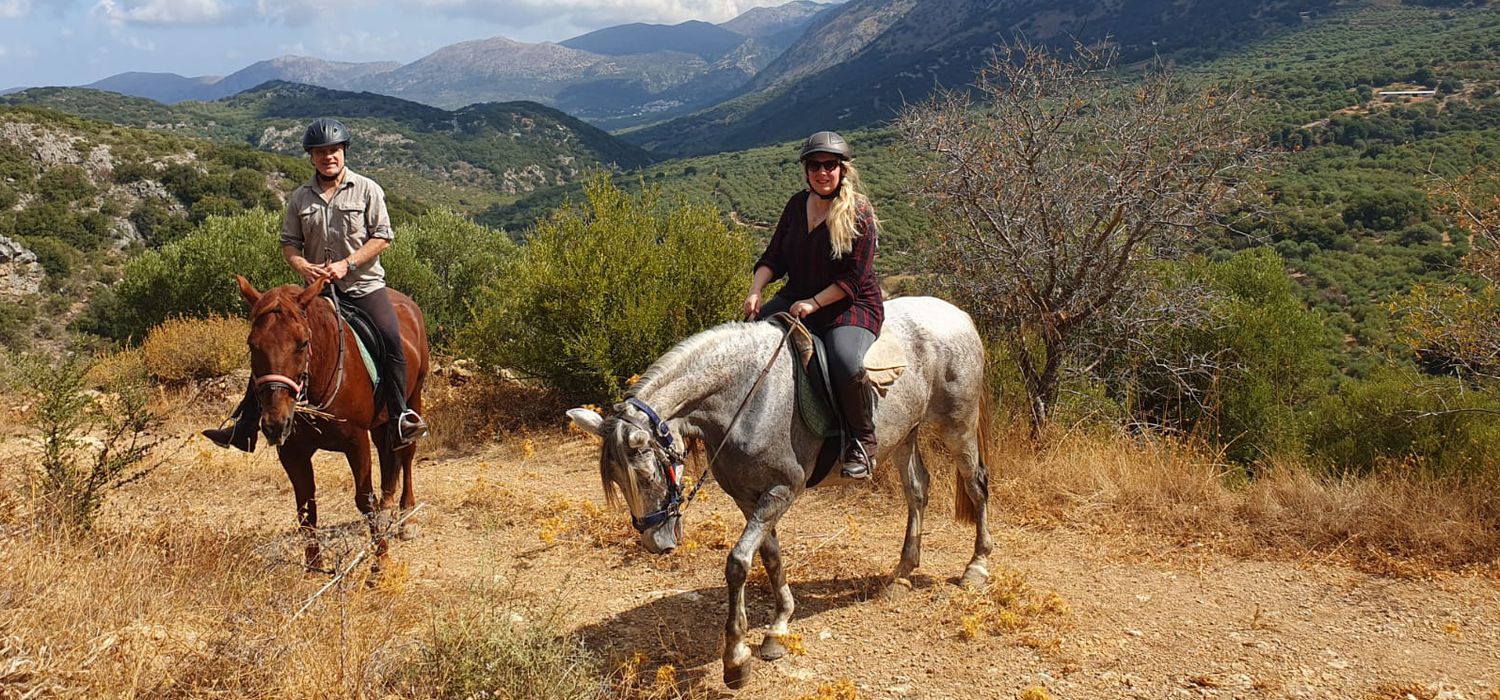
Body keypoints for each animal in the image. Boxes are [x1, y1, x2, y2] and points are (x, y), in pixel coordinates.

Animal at [234, 275, 432, 575]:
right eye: (252, 345)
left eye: (302, 343)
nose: (275, 424)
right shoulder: (292, 452)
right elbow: (305, 507)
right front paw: (314, 565)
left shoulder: (356, 442)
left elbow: (364, 500)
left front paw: (381, 560)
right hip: (380, 421)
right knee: (387, 456)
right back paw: (388, 507)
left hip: (413, 395)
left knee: (406, 453)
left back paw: (406, 517)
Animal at [567, 295, 990, 689]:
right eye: (617, 481)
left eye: (645, 473)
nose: (656, 543)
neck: (743, 395)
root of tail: (957, 315)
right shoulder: (749, 497)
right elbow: (770, 556)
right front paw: (779, 627)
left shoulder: (782, 490)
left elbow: (738, 562)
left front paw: (736, 659)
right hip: (905, 433)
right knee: (917, 489)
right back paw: (901, 574)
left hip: (958, 425)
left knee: (976, 484)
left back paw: (976, 567)